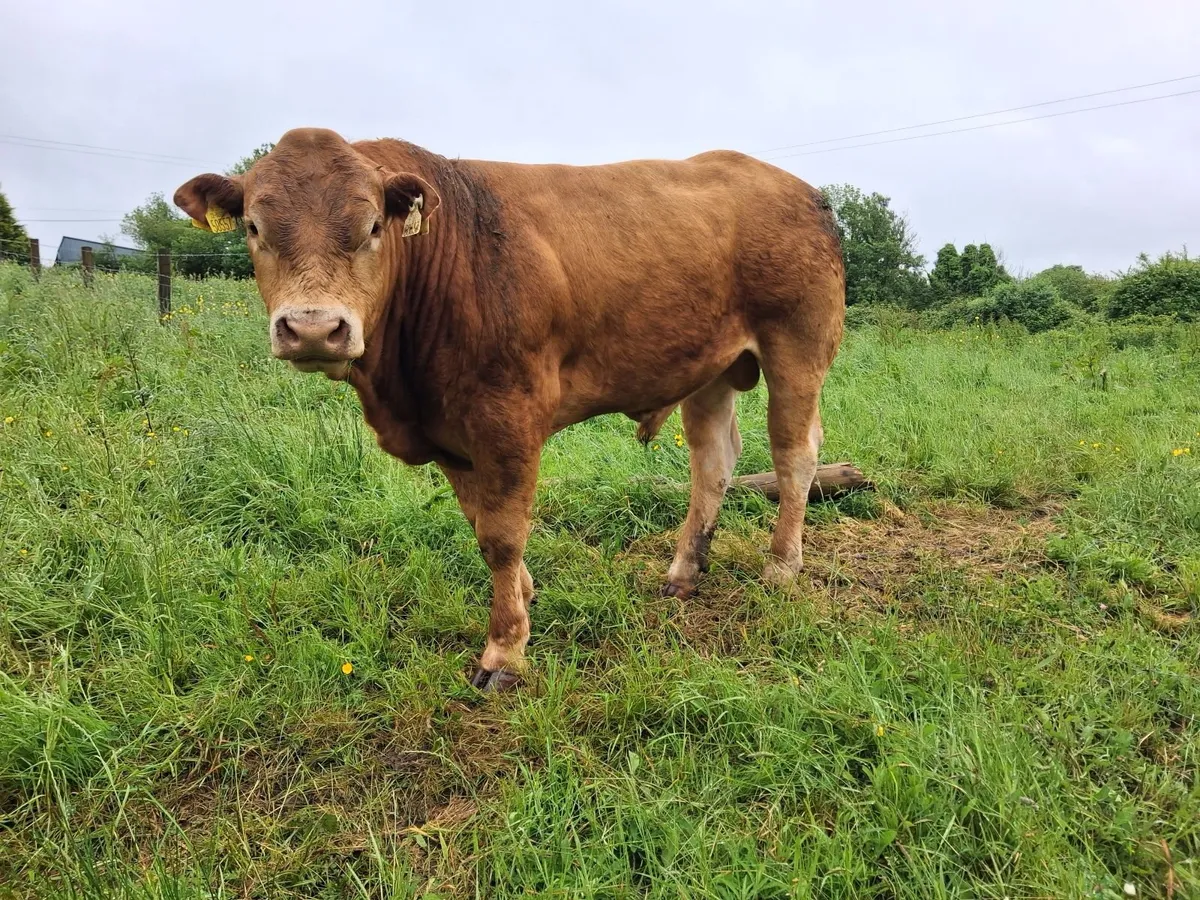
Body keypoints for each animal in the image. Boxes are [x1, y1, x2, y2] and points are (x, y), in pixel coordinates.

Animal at [174, 128, 845, 691]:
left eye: (371, 227)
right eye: (254, 227)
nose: (314, 328)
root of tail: (804, 189)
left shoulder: (508, 418)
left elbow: (501, 534)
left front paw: (505, 650)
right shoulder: (449, 428)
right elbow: (482, 525)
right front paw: (523, 596)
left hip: (797, 345)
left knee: (794, 453)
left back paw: (781, 566)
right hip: (708, 367)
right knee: (715, 459)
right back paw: (684, 570)